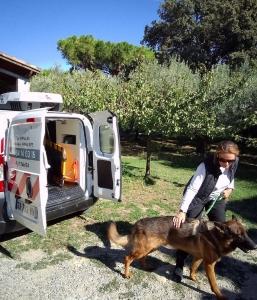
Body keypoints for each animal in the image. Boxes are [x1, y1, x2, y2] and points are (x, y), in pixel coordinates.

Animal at [107, 216, 255, 300]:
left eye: (246, 233)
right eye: (239, 236)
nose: (255, 246)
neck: (216, 235)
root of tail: (138, 223)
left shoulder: (198, 257)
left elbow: (193, 268)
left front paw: (193, 278)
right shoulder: (209, 264)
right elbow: (214, 283)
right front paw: (219, 295)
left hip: (151, 248)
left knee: (141, 258)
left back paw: (146, 267)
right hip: (144, 249)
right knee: (127, 258)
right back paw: (126, 274)